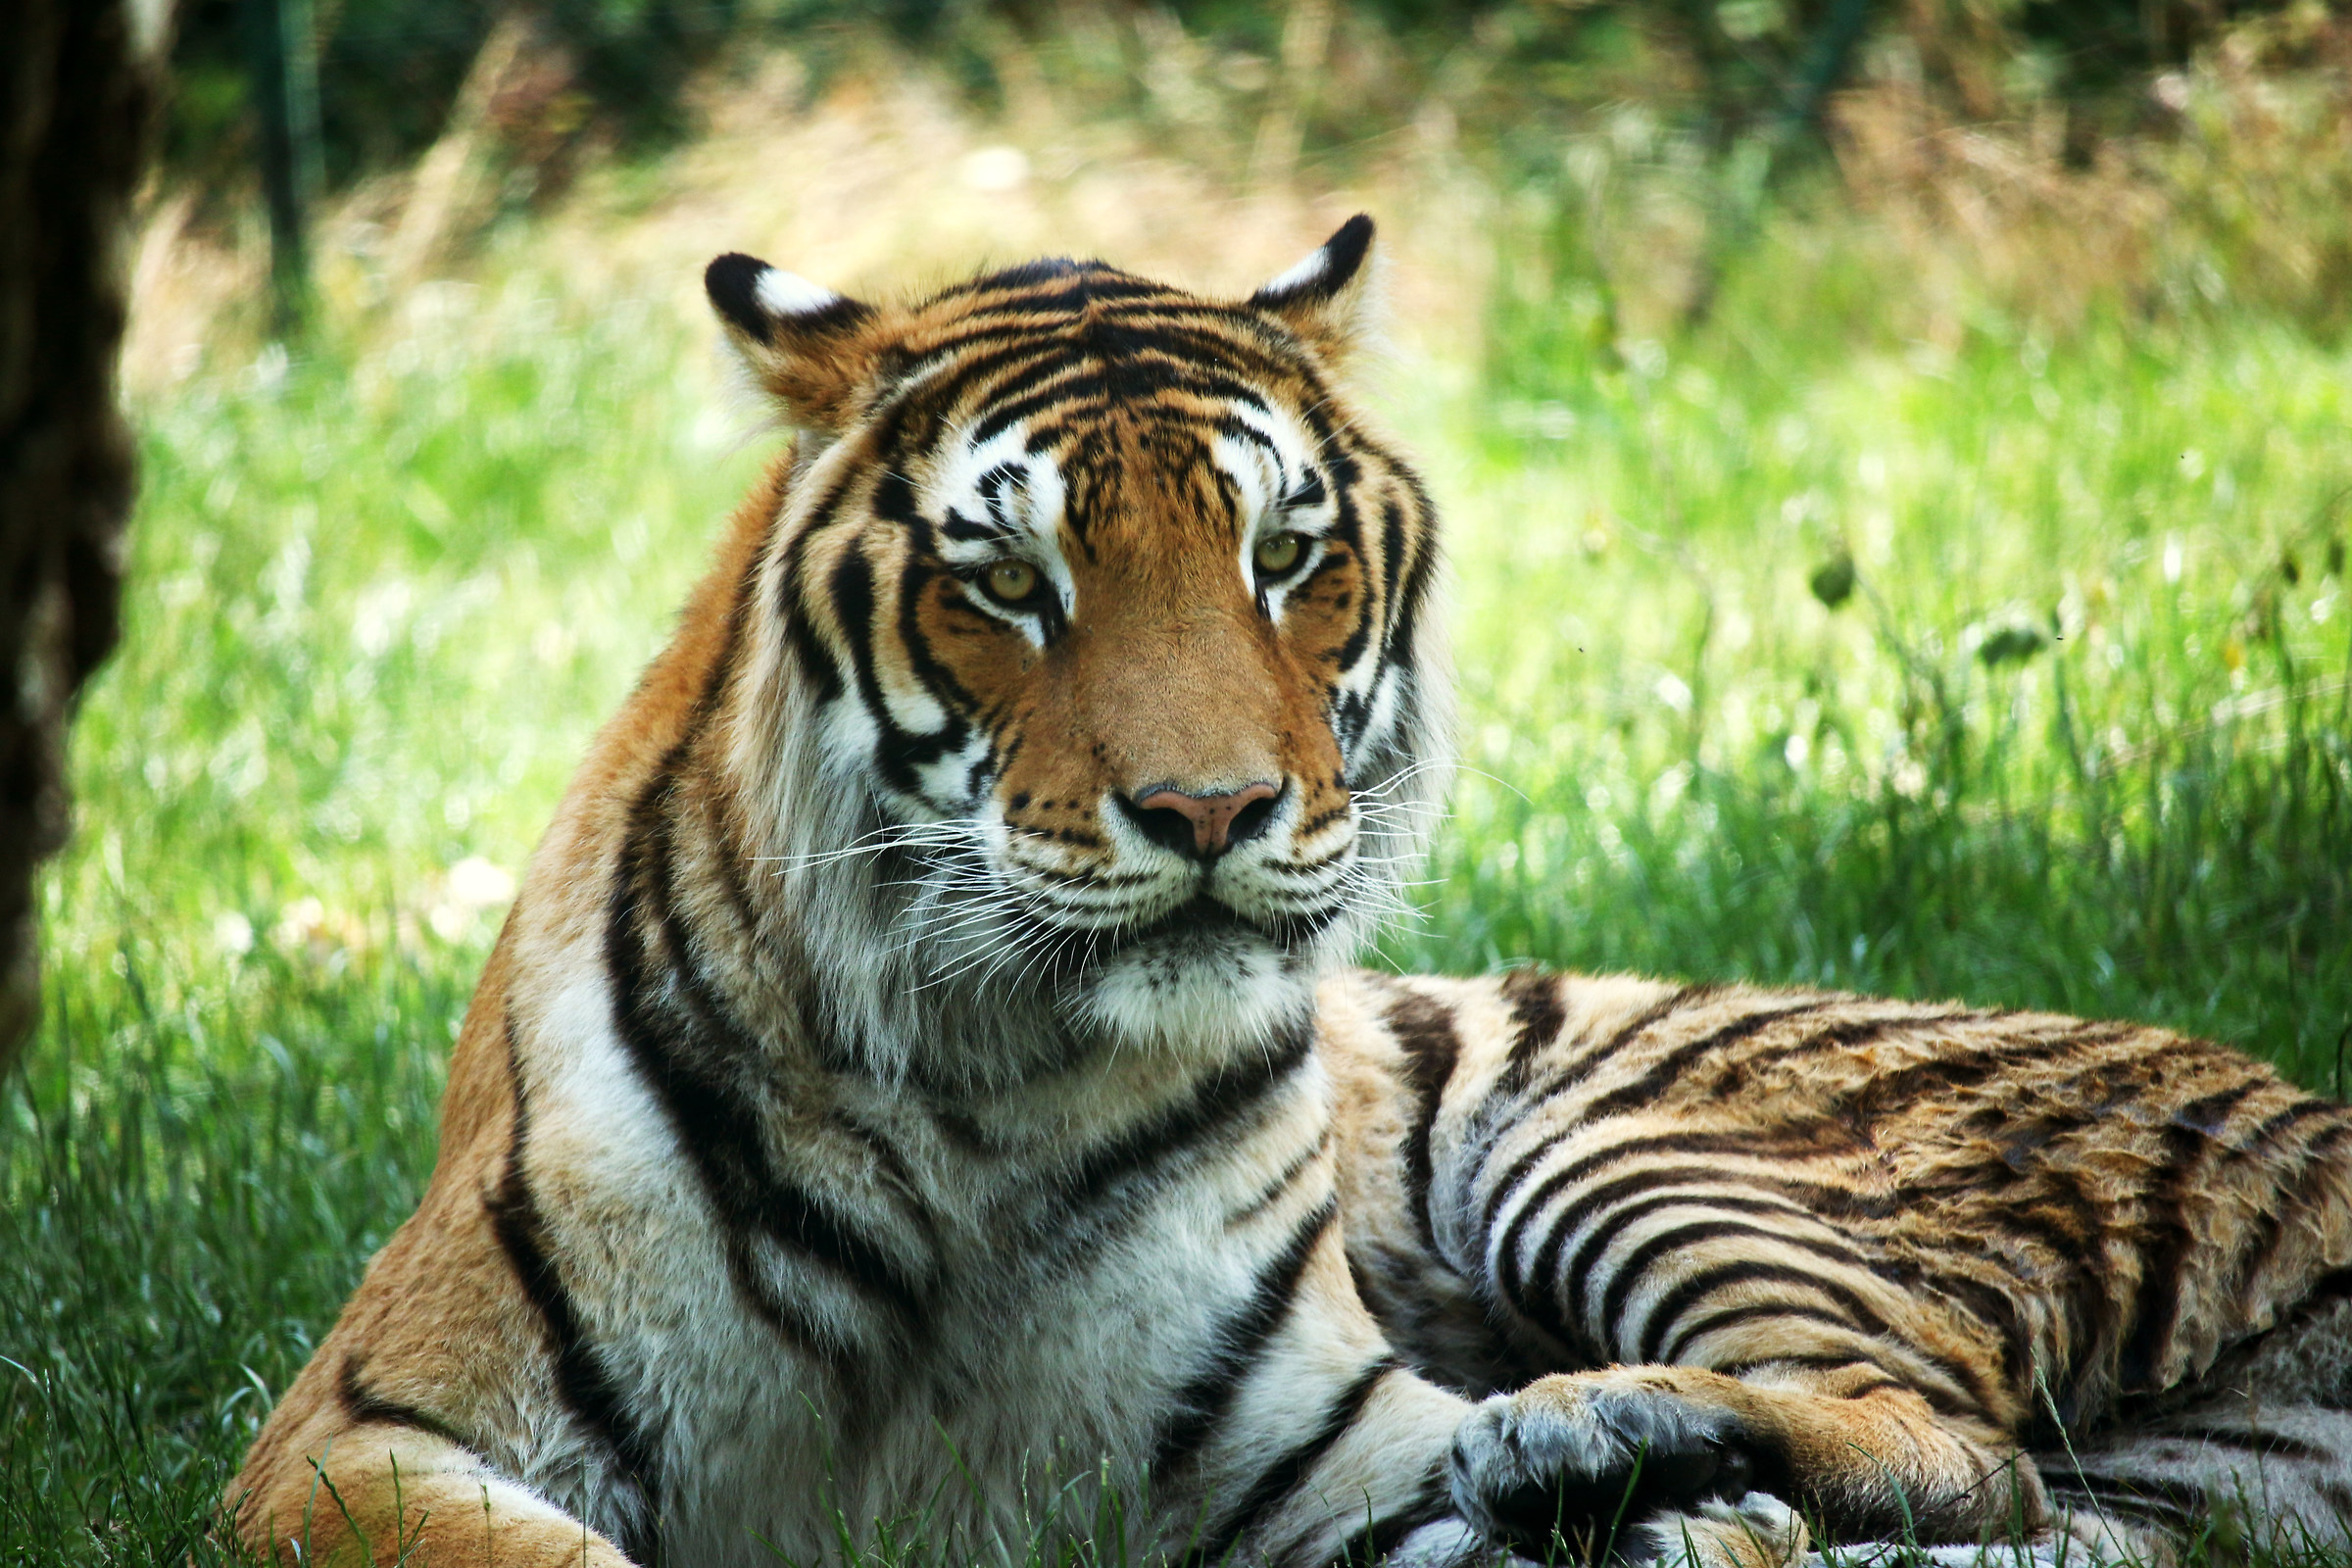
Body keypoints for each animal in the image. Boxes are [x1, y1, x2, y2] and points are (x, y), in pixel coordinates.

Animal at [228, 215, 2352, 1568]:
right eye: (1006, 582)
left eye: (1286, 557)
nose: (1212, 807)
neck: (982, 1085)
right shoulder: (361, 1440)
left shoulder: (1327, 1459)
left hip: (1648, 1142)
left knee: (1953, 1438)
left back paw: (1601, 1435)